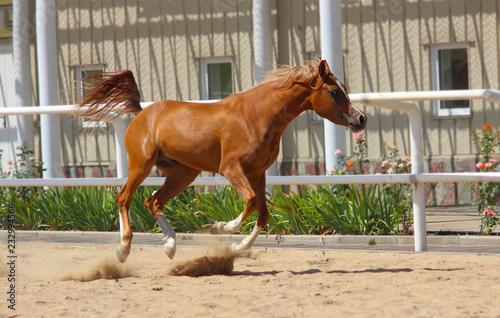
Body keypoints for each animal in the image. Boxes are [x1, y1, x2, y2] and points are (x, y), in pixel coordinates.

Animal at [74, 59, 366, 260]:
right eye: (334, 92)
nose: (361, 118)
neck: (257, 115)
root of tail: (141, 113)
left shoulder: (258, 173)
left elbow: (263, 214)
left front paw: (238, 247)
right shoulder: (231, 169)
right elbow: (251, 201)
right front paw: (219, 227)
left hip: (182, 174)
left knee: (152, 201)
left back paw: (170, 246)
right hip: (141, 165)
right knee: (124, 198)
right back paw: (123, 249)